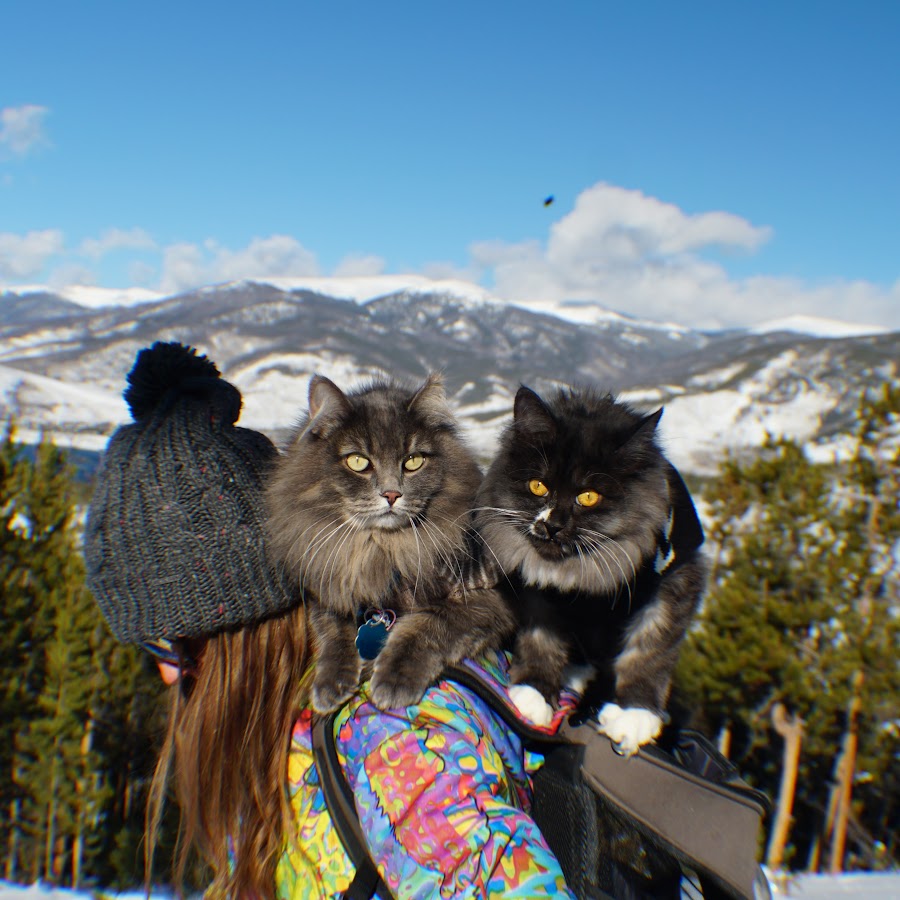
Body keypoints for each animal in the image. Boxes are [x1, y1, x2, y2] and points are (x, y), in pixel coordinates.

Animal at [266, 370, 512, 712]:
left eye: (413, 461)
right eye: (358, 462)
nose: (392, 494)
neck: (381, 550)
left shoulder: (487, 603)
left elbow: (427, 627)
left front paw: (393, 680)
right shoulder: (327, 582)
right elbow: (333, 629)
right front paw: (330, 683)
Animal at [474, 384, 708, 756]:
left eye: (588, 497)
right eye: (538, 486)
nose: (552, 525)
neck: (581, 576)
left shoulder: (676, 581)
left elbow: (649, 653)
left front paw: (634, 715)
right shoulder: (539, 594)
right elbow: (541, 641)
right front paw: (534, 694)